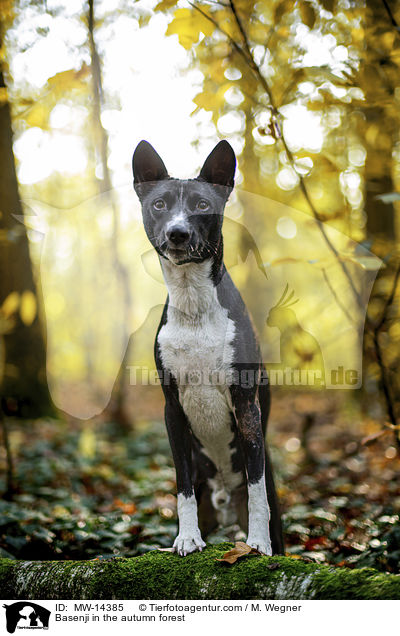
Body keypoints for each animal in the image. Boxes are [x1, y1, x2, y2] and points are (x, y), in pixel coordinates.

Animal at [133, 140, 282, 556]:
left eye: (201, 205)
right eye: (159, 204)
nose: (177, 234)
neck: (194, 303)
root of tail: (223, 501)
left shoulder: (246, 403)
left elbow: (256, 486)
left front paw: (257, 543)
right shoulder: (172, 408)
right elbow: (182, 484)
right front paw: (187, 537)